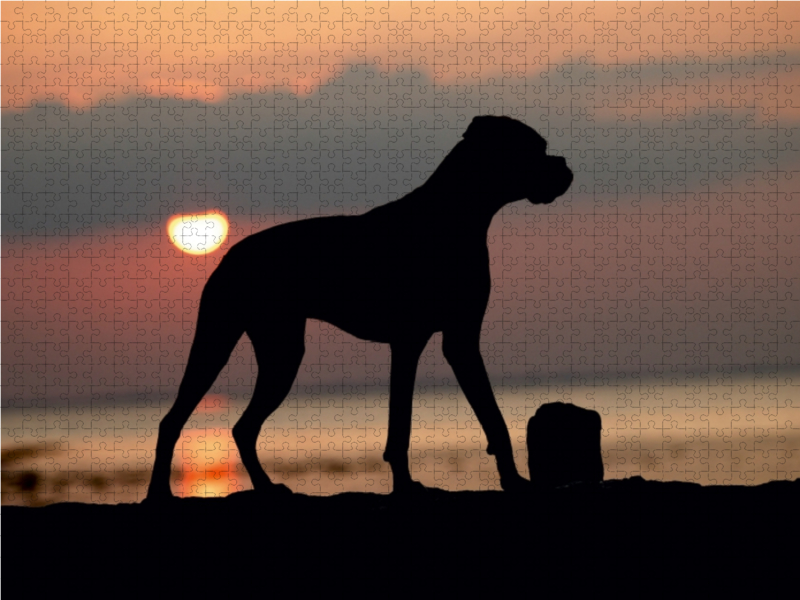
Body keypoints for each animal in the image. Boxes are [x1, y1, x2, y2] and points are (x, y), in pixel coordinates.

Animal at [147, 115, 572, 500]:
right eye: (534, 149)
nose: (565, 165)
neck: (453, 216)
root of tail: (228, 255)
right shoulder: (418, 343)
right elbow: (408, 424)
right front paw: (407, 486)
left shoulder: (457, 339)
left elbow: (487, 417)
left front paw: (511, 480)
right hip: (222, 344)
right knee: (175, 420)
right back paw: (159, 493)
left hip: (278, 351)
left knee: (241, 427)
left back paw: (266, 488)